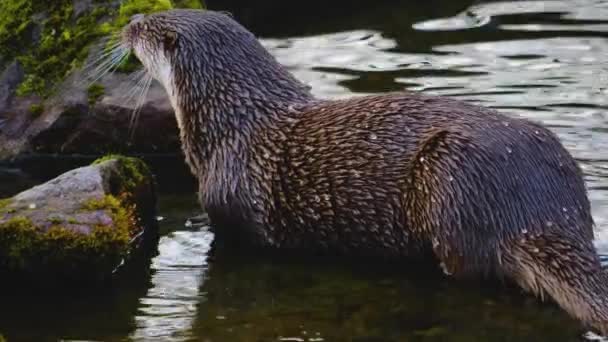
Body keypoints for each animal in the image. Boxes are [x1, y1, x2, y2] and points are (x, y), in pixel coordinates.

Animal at [121, 10, 608, 334]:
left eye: (147, 26)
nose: (130, 23)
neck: (233, 127)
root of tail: (542, 211)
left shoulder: (229, 210)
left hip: (451, 177)